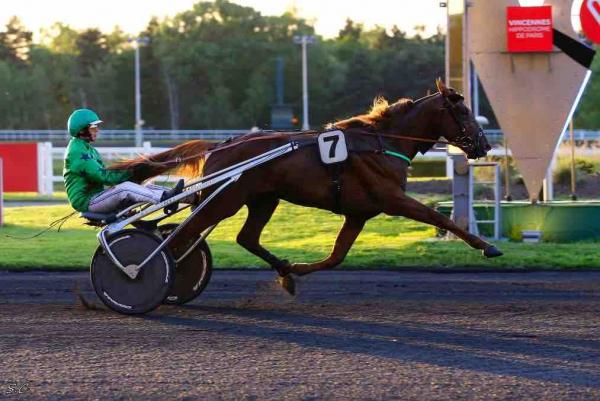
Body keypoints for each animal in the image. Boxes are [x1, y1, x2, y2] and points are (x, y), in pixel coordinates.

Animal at [111, 79, 502, 282]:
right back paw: (142, 271)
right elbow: (438, 216)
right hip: (225, 199)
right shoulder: (391, 199)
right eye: (464, 111)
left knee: (244, 237)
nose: (484, 144)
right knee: (184, 234)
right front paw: (487, 246)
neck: (382, 142)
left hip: (263, 199)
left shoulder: (358, 213)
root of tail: (222, 144)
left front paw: (295, 270)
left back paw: (282, 269)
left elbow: (336, 257)